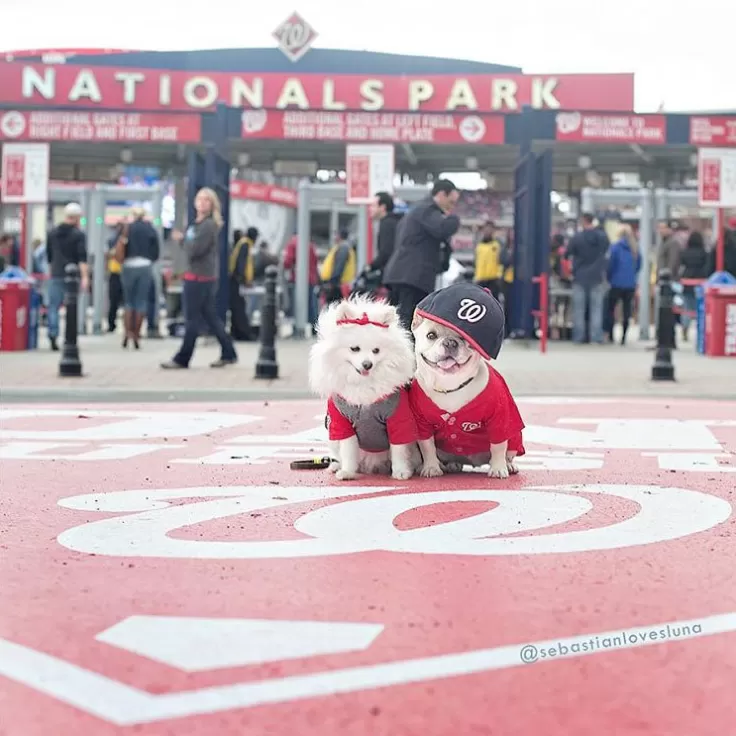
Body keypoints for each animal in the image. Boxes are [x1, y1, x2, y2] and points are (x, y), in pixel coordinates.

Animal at [306, 296, 420, 480]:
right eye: (355, 349)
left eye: (376, 350)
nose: (367, 364)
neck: (363, 383)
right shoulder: (342, 422)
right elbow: (348, 451)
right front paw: (347, 472)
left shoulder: (397, 419)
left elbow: (399, 450)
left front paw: (401, 472)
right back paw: (335, 466)